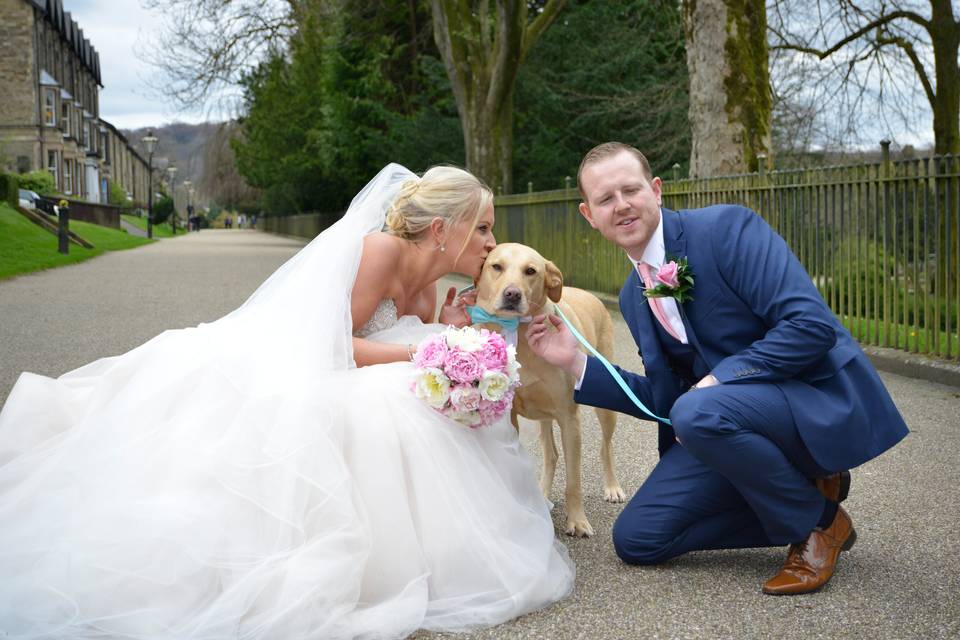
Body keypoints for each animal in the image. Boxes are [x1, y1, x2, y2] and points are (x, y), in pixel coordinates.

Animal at [472, 241, 624, 536]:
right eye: (496, 266)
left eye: (530, 271)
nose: (512, 294)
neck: (520, 335)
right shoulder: (510, 416)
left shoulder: (569, 419)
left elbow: (574, 481)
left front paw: (577, 520)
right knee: (551, 454)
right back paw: (541, 494)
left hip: (606, 406)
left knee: (606, 447)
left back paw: (612, 486)